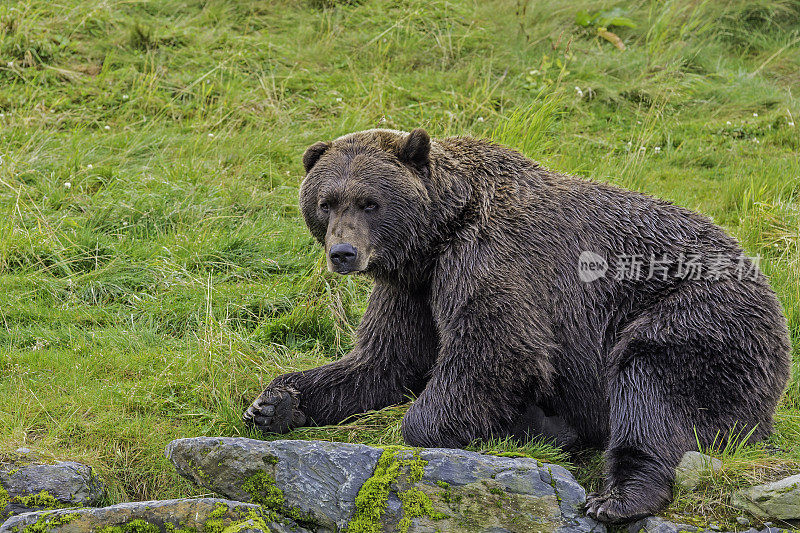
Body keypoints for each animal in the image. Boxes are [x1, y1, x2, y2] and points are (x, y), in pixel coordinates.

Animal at [241, 130, 792, 524]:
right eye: (326, 202)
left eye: (369, 202)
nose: (343, 252)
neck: (439, 235)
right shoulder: (412, 290)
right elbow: (383, 362)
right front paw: (273, 403)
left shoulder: (492, 260)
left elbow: (496, 348)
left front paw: (458, 424)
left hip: (697, 314)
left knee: (650, 388)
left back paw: (615, 494)